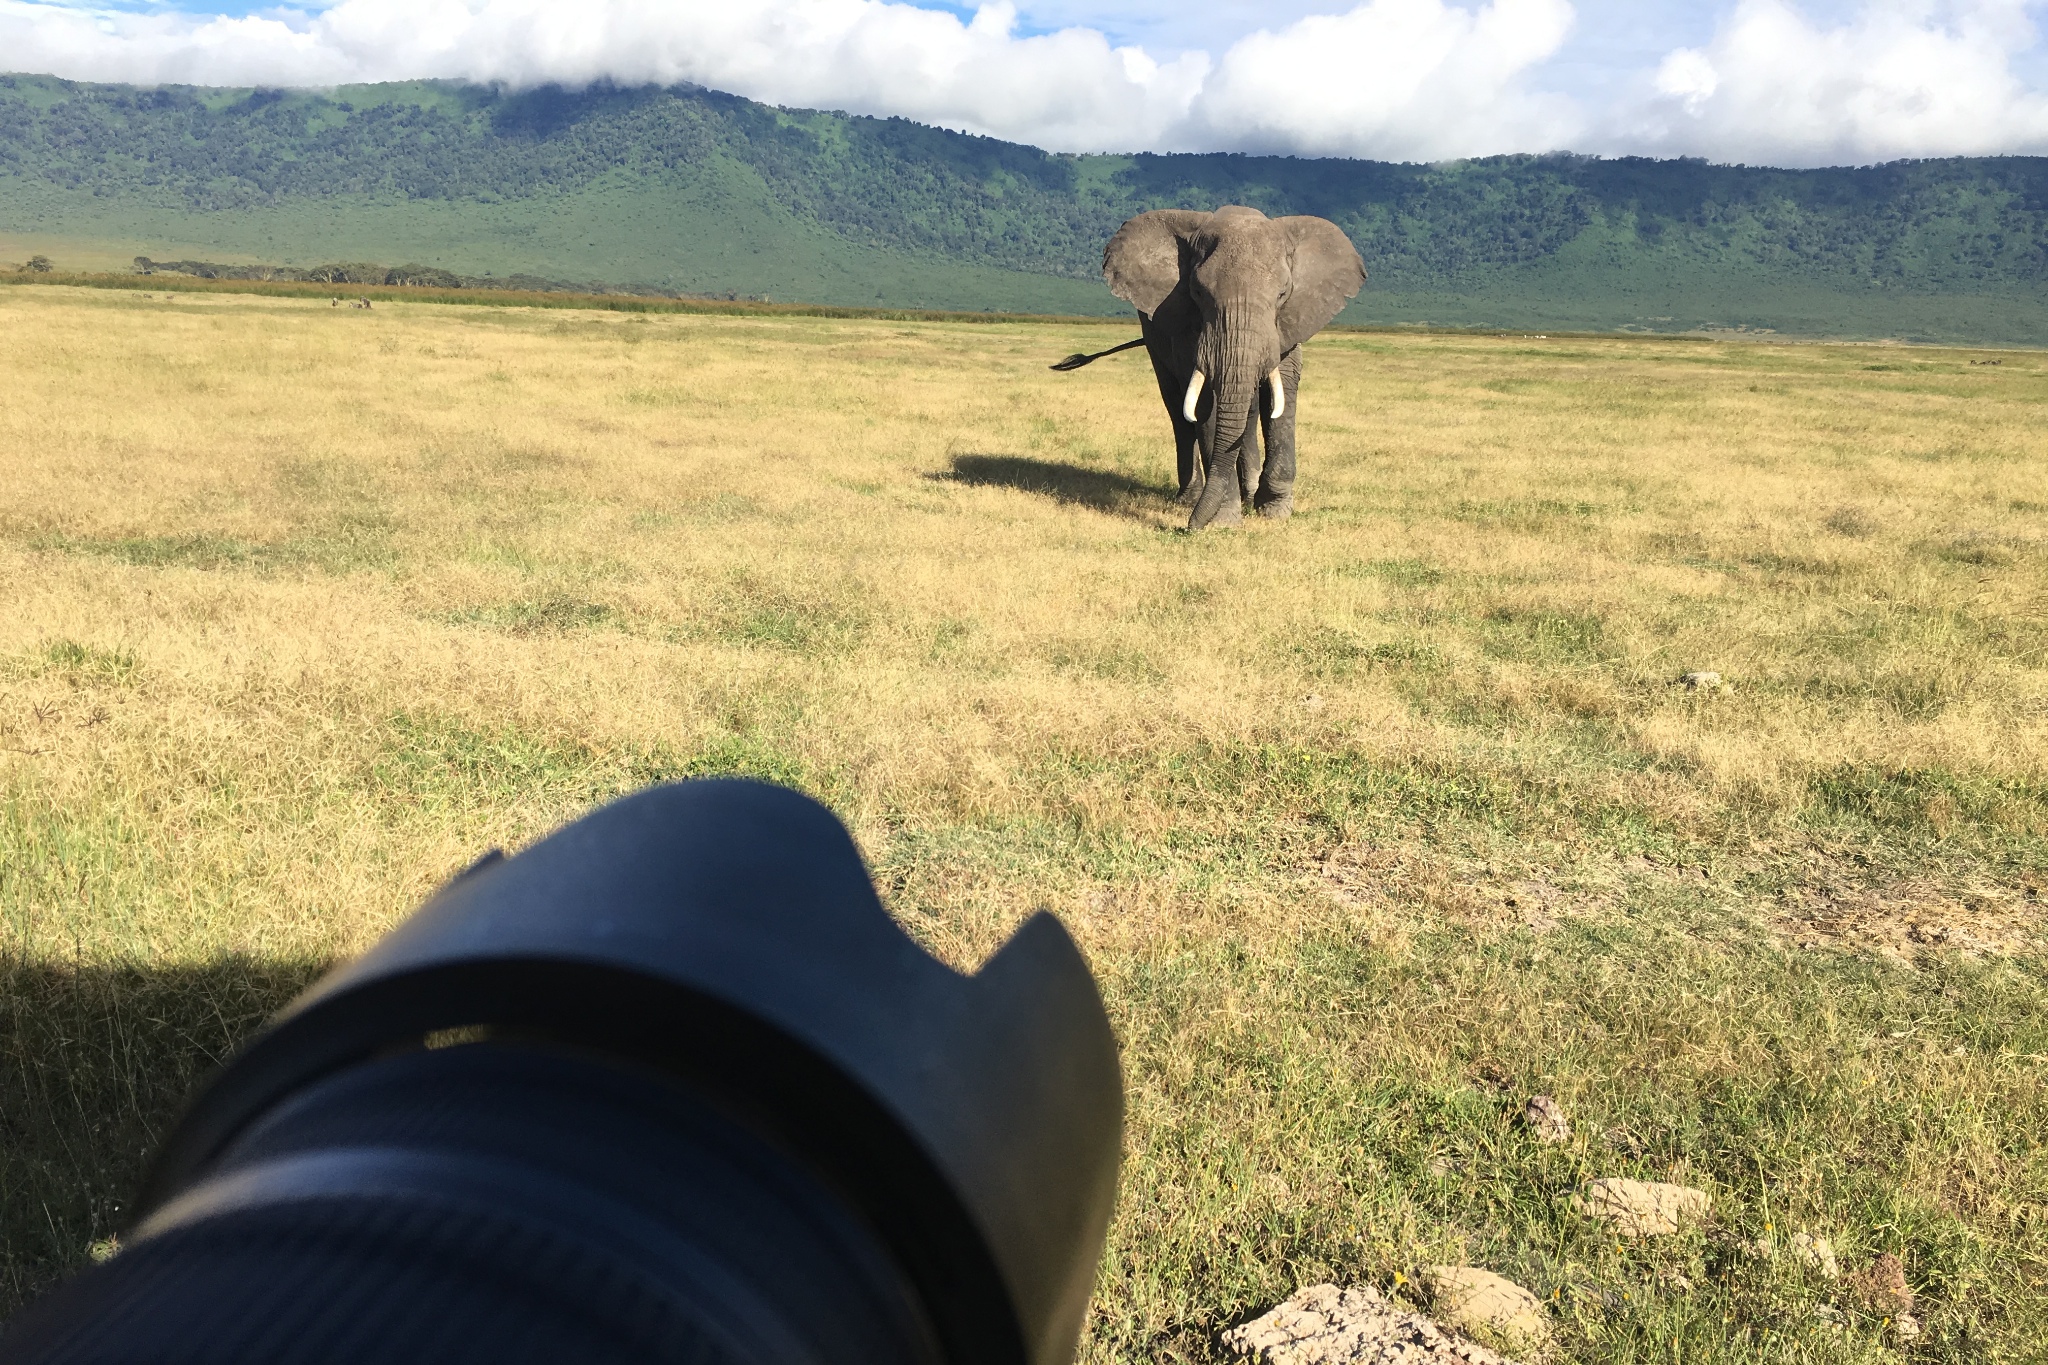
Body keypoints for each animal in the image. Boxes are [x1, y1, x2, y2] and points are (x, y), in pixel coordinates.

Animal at [1056, 205, 1359, 532]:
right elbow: (1204, 404)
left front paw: (1275, 511)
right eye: (1199, 293)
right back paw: (1190, 498)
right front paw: (1224, 521)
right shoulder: (1188, 327)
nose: (1188, 527)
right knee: (1178, 410)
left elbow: (1283, 394)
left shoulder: (1290, 322)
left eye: (1282, 294)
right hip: (1154, 339)